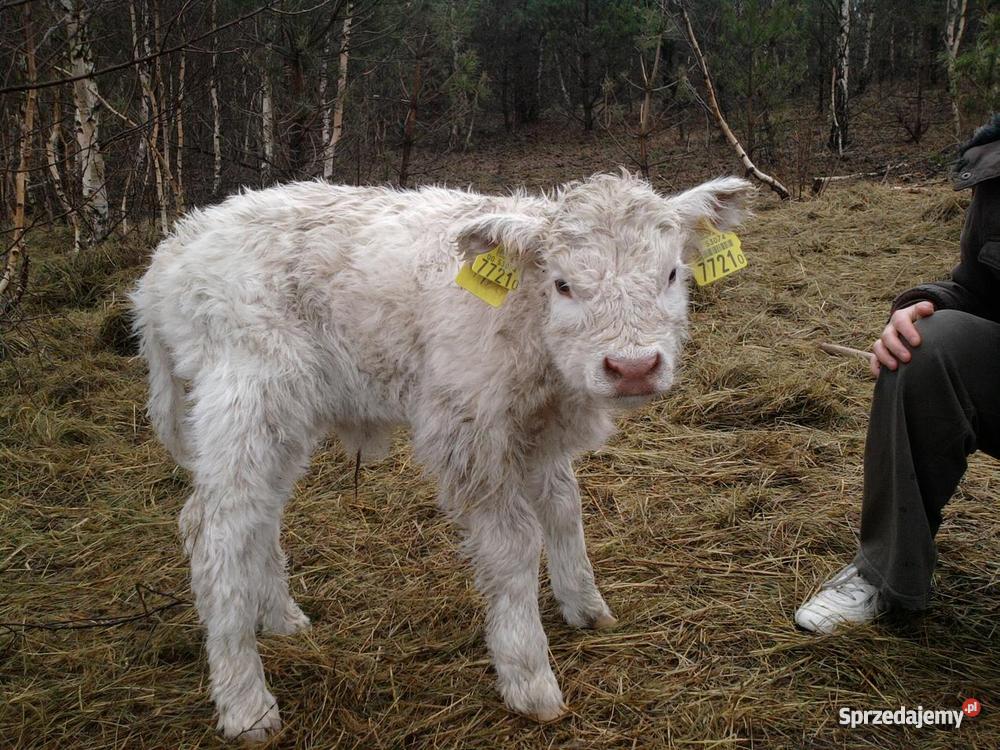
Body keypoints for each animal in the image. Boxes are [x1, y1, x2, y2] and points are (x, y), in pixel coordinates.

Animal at [131, 171, 752, 740]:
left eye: (671, 274)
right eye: (563, 285)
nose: (632, 368)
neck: (526, 324)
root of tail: (170, 253)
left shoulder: (538, 432)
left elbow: (564, 509)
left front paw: (585, 605)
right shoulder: (467, 433)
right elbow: (512, 545)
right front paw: (529, 678)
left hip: (282, 417)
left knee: (256, 516)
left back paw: (280, 618)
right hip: (247, 394)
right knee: (214, 530)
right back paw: (246, 705)